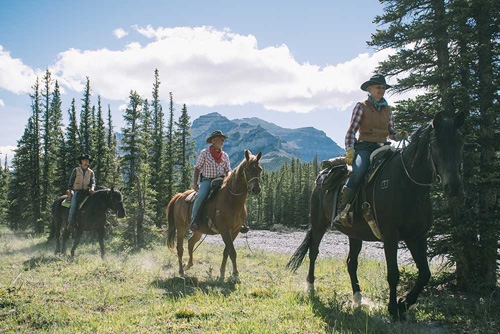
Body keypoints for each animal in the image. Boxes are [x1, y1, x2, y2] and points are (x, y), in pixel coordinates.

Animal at [166, 150, 264, 280]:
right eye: (247, 169)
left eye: (260, 169)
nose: (256, 189)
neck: (231, 199)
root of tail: (179, 196)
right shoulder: (224, 229)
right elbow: (232, 251)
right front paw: (235, 274)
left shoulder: (235, 230)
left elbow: (227, 251)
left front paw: (222, 273)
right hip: (181, 227)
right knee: (180, 248)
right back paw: (182, 271)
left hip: (198, 230)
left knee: (191, 243)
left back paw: (188, 265)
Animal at [288, 113, 466, 320]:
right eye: (436, 144)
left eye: (460, 143)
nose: (454, 186)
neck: (409, 186)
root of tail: (322, 175)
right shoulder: (390, 235)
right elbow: (393, 274)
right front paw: (393, 308)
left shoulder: (417, 236)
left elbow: (425, 274)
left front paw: (404, 304)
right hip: (319, 224)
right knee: (314, 252)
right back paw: (310, 287)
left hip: (354, 233)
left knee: (351, 263)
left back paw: (358, 298)